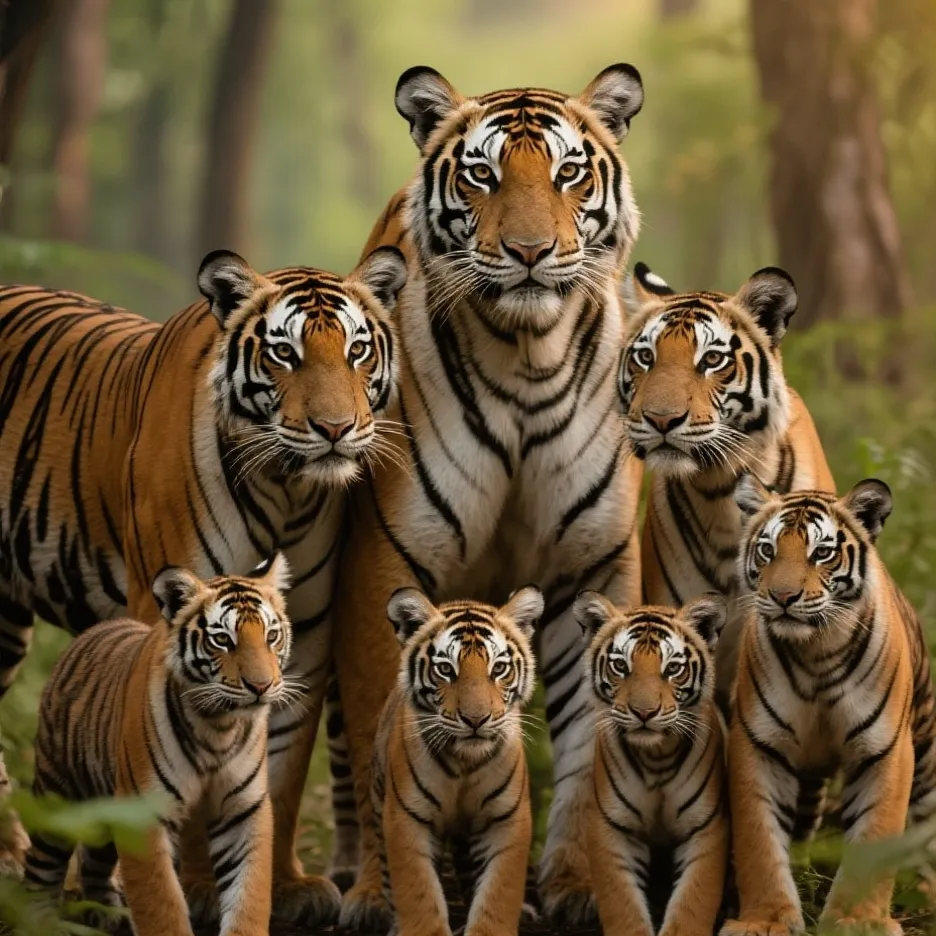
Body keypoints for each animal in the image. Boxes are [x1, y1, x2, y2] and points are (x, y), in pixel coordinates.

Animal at [24, 556, 294, 936]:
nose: (261, 686)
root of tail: (93, 631)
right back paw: (37, 921)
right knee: (41, 864)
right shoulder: (144, 810)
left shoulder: (243, 809)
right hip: (58, 791)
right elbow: (160, 904)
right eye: (222, 639)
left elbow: (248, 895)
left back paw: (110, 914)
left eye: (272, 636)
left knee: (95, 860)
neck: (219, 726)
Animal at [371, 585, 542, 936]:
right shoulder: (406, 819)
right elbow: (419, 894)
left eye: (499, 669)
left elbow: (497, 893)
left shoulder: (506, 819)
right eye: (446, 669)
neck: (465, 762)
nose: (476, 720)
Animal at [576, 591, 729, 936]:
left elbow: (693, 905)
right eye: (621, 665)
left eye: (672, 668)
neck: (656, 755)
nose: (644, 712)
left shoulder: (707, 827)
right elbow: (622, 906)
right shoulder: (611, 827)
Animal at [721, 476, 936, 936]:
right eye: (767, 550)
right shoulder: (759, 745)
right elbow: (759, 841)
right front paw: (765, 920)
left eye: (821, 552)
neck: (816, 651)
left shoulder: (885, 750)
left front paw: (859, 921)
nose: (783, 596)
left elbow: (874, 834)